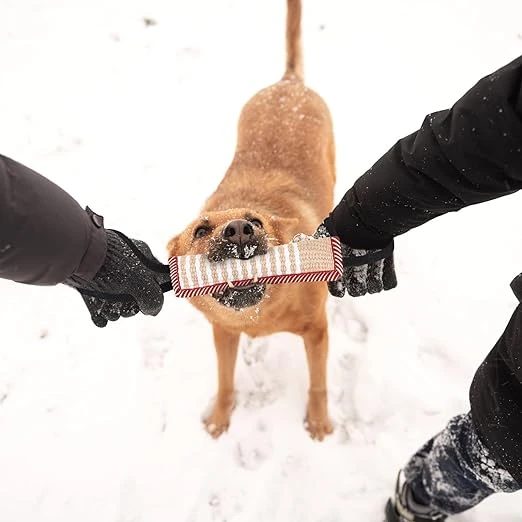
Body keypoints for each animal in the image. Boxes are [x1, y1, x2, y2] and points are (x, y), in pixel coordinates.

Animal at [169, 0, 336, 438]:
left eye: (256, 223)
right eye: (201, 229)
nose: (239, 230)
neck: (260, 314)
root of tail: (287, 83)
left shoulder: (317, 332)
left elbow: (318, 384)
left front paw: (318, 424)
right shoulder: (223, 332)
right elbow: (225, 381)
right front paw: (219, 420)